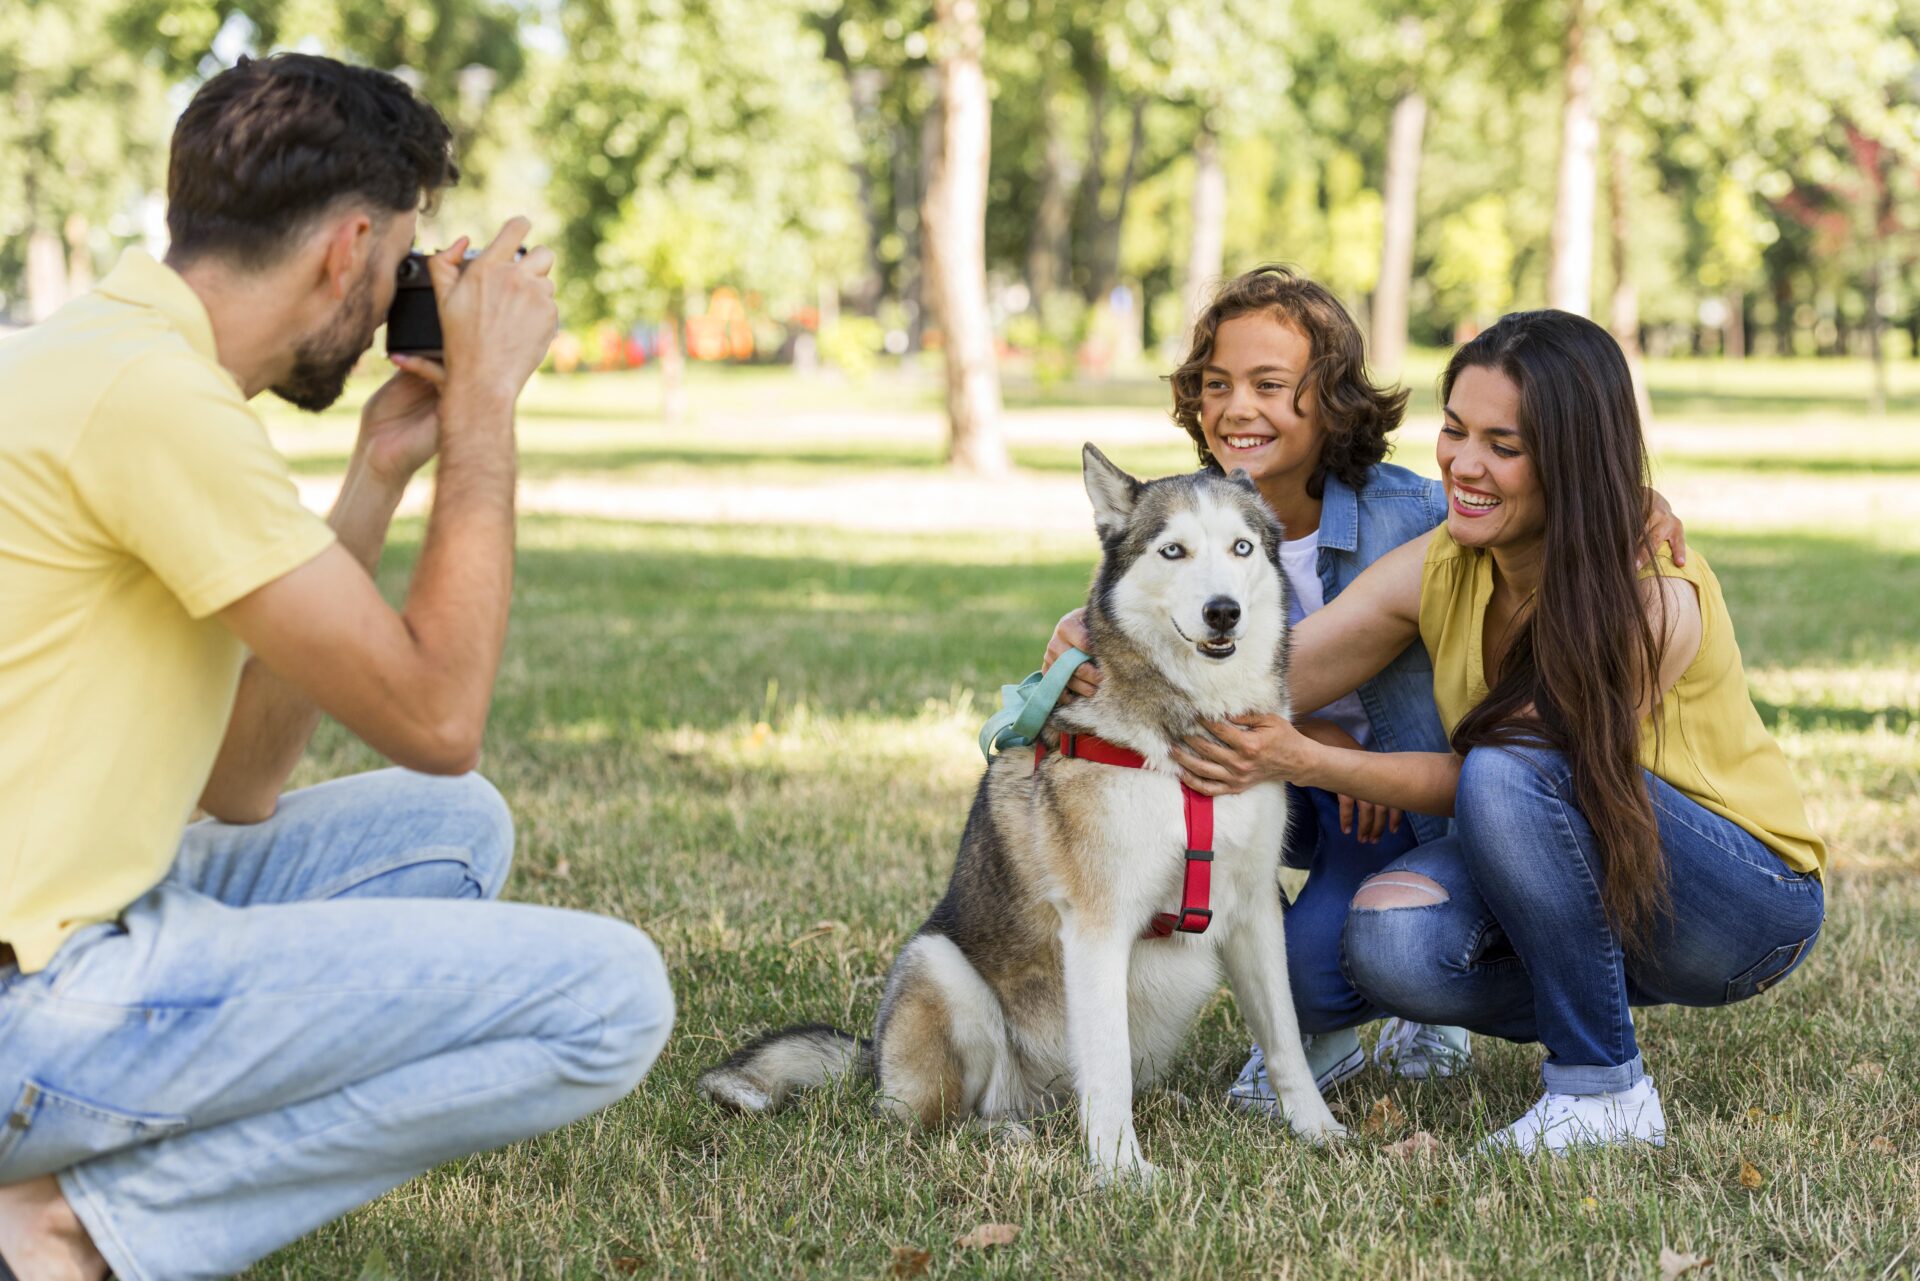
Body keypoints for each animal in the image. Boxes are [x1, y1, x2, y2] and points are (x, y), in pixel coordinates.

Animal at [698, 443, 1344, 1183]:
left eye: (1242, 547)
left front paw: (1317, 1130)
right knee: (930, 1123)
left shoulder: (1253, 911)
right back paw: (1003, 1136)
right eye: (1173, 550)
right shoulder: (1097, 925)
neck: (1183, 740)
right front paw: (1121, 1172)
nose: (1223, 611)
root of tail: (875, 1056)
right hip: (940, 971)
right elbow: (1108, 1070)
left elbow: (1286, 1040)